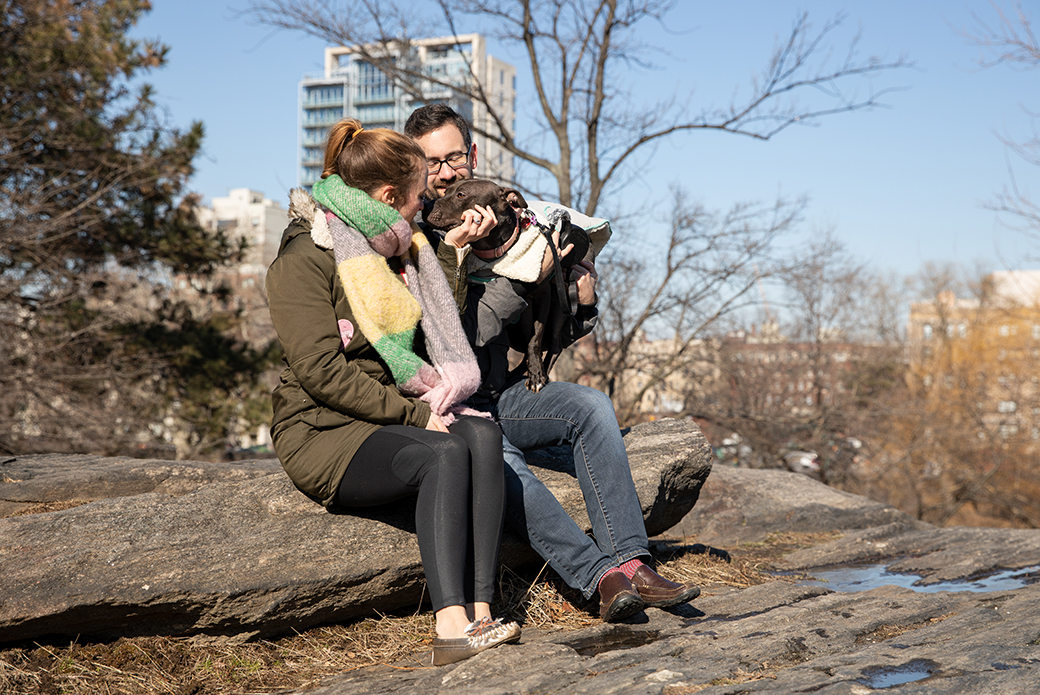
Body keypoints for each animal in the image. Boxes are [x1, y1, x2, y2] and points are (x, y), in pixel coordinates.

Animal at [420, 178, 586, 391]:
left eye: (461, 195)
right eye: (446, 191)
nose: (426, 204)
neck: (494, 250)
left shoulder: (544, 297)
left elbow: (536, 339)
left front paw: (537, 376)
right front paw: (533, 373)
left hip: (559, 303)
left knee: (554, 345)